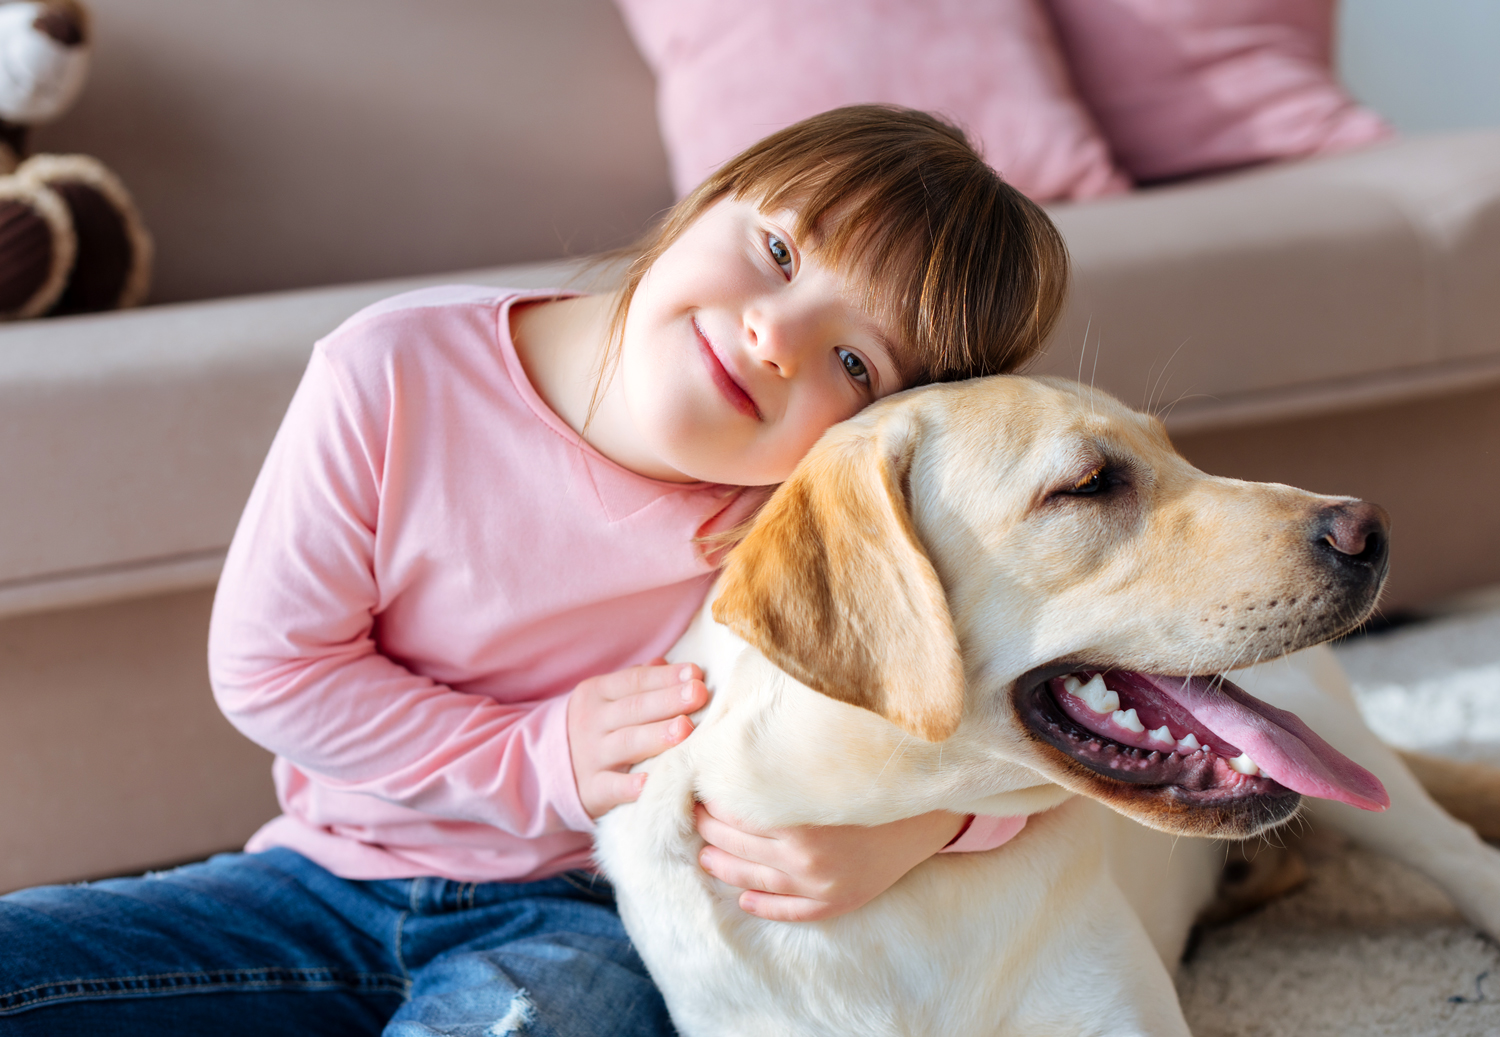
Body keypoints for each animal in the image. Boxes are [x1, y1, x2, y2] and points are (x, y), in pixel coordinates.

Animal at [591, 376, 1494, 1032]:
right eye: (1089, 484)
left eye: (1181, 453)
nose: (1370, 530)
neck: (900, 881)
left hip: (1340, 742)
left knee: (1451, 847)